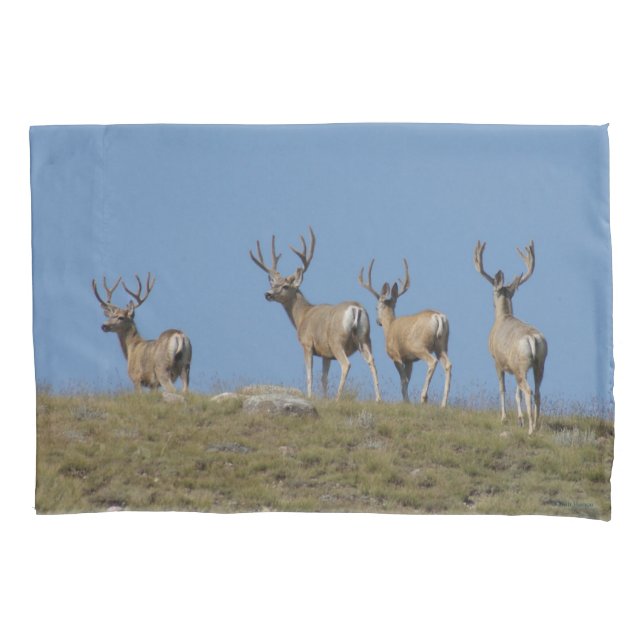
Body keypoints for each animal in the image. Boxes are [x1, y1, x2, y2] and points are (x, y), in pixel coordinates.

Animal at [249, 226, 382, 401]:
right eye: (273, 284)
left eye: (285, 286)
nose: (267, 294)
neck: (302, 316)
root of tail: (356, 308)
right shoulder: (326, 353)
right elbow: (324, 378)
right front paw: (324, 398)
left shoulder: (307, 344)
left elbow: (309, 375)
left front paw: (310, 396)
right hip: (365, 338)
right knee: (372, 361)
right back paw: (378, 399)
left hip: (336, 340)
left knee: (346, 364)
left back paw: (338, 398)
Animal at [358, 258, 452, 407]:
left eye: (376, 307)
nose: (378, 321)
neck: (389, 327)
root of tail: (438, 317)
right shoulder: (409, 360)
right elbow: (407, 380)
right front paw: (406, 401)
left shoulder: (395, 355)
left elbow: (403, 381)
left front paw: (406, 402)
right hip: (442, 345)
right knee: (448, 365)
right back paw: (443, 404)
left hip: (420, 346)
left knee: (432, 362)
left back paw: (423, 397)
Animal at [473, 240, 548, 434]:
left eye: (492, 291)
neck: (503, 317)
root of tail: (532, 338)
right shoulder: (513, 367)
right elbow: (516, 394)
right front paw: (520, 419)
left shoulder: (497, 360)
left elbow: (502, 389)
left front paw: (504, 418)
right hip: (539, 364)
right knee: (537, 392)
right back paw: (536, 425)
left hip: (521, 364)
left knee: (528, 391)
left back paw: (531, 429)